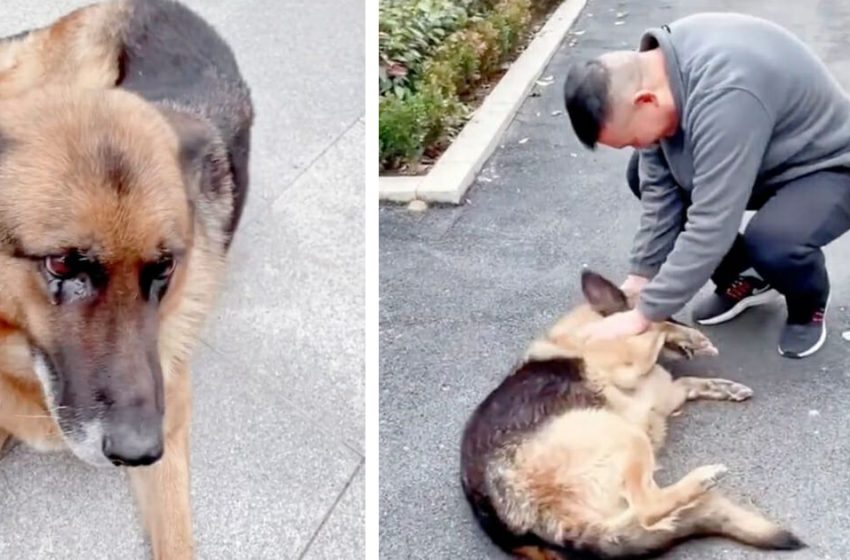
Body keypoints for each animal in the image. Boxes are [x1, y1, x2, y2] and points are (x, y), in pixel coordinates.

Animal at [460, 270, 800, 556]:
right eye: (671, 313)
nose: (690, 328)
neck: (587, 328)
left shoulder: (664, 394)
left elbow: (688, 381)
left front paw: (723, 387)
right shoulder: (631, 366)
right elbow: (652, 327)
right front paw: (686, 336)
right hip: (624, 435)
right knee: (647, 509)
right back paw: (701, 480)